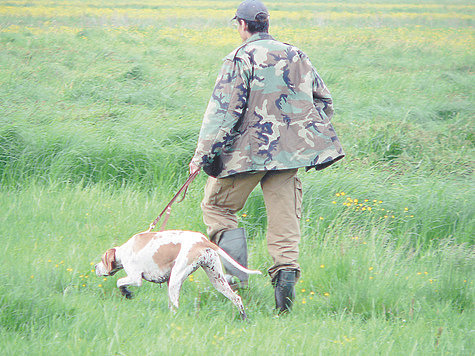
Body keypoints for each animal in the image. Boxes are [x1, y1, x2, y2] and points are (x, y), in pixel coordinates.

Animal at [95, 231, 262, 320]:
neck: (124, 251)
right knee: (236, 298)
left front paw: (126, 293)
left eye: (102, 259)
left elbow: (119, 282)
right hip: (216, 279)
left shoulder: (135, 279)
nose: (95, 267)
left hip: (176, 279)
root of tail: (203, 241)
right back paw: (244, 319)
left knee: (176, 306)